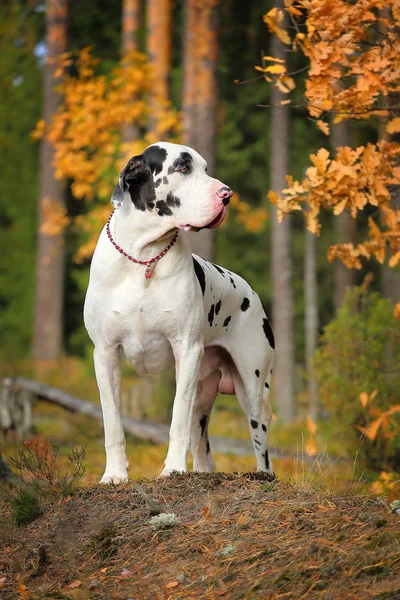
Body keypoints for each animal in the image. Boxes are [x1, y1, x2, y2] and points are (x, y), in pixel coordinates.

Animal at [84, 142, 276, 482]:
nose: (227, 194)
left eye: (205, 168)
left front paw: (173, 468)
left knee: (260, 445)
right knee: (203, 447)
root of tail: (251, 292)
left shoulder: (186, 350)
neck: (143, 256)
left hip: (254, 389)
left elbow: (177, 418)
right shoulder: (105, 353)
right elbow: (112, 421)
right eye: (183, 168)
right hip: (205, 390)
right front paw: (114, 474)